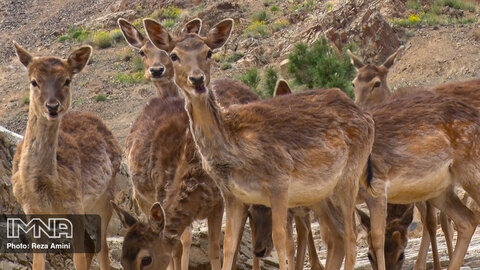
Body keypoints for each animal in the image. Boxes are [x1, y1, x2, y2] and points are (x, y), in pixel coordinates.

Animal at [10, 41, 122, 268]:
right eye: (34, 81)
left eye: (67, 80)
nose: (52, 106)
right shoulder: (33, 212)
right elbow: (37, 261)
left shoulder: (74, 205)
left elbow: (78, 257)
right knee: (92, 246)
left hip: (105, 196)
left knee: (102, 247)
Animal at [142, 17, 376, 270]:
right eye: (174, 55)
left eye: (209, 52)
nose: (197, 79)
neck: (235, 151)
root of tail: (367, 118)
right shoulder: (232, 195)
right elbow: (228, 245)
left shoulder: (279, 179)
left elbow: (281, 239)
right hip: (321, 193)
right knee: (337, 234)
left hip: (350, 175)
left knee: (351, 236)